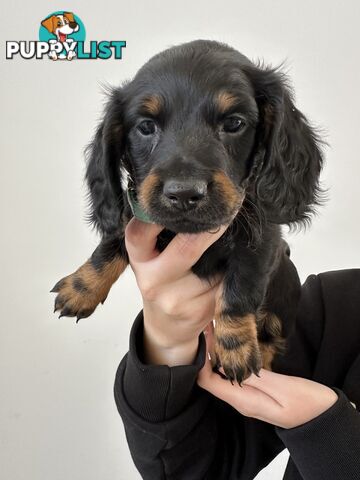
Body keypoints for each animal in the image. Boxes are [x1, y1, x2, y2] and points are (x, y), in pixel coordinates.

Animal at [50, 42, 324, 386]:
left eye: (234, 123)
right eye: (146, 126)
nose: (183, 193)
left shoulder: (263, 242)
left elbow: (241, 287)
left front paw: (235, 347)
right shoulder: (138, 211)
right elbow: (114, 239)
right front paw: (81, 287)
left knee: (272, 338)